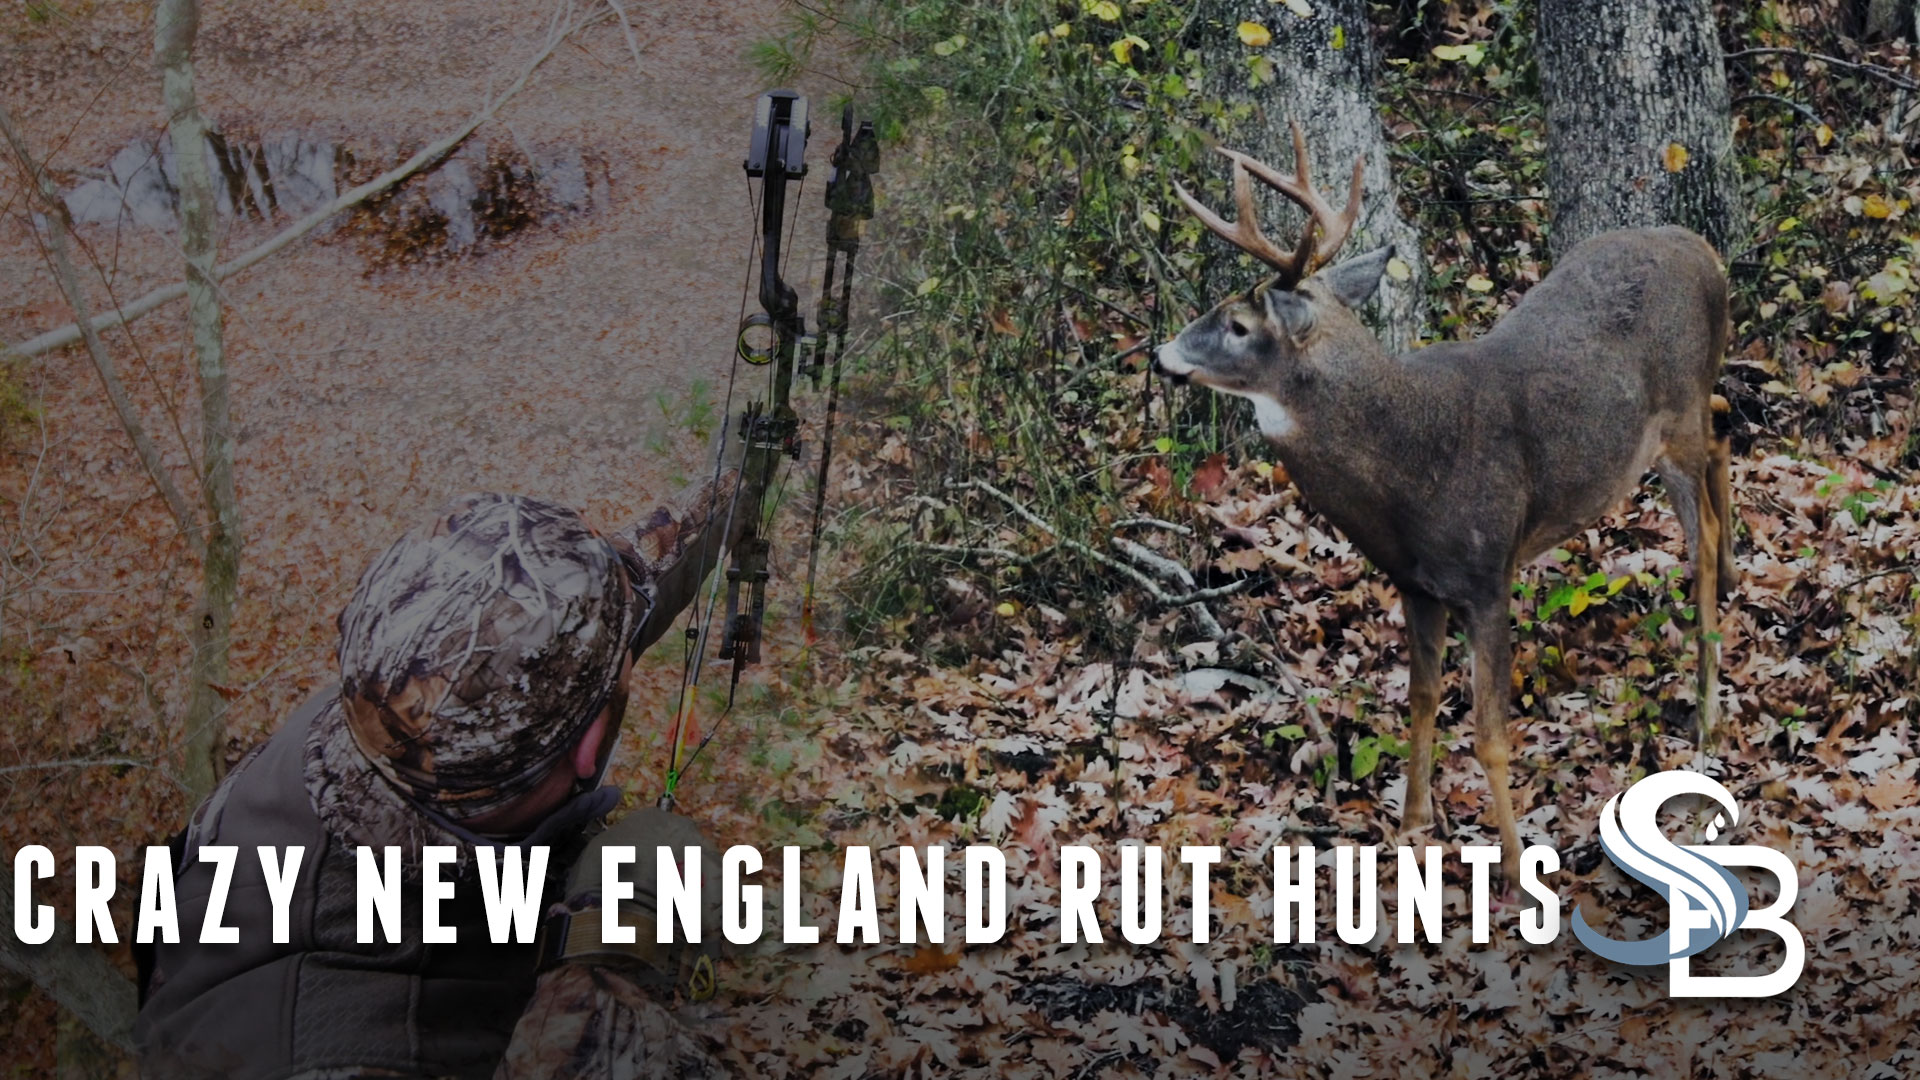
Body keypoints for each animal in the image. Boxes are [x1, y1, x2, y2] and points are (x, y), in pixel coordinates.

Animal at [1153, 122, 1734, 882]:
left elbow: (1489, 734)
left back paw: (1709, 712)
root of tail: (1703, 251)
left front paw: (1515, 867)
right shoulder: (1415, 584)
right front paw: (1411, 826)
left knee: (1702, 536)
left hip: (1678, 417)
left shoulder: (1488, 573)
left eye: (1240, 325)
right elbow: (1422, 699)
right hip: (1688, 418)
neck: (1408, 475)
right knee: (1725, 438)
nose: (1160, 355)